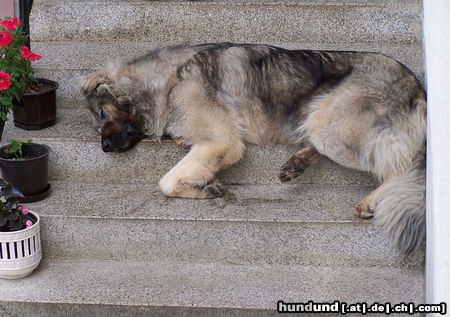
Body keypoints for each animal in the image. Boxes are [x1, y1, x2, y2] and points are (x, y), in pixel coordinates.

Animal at [81, 42, 426, 254]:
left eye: (101, 115)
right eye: (98, 123)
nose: (105, 147)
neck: (167, 81)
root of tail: (416, 85)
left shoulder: (223, 142)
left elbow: (165, 182)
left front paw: (202, 187)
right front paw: (203, 181)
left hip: (332, 127)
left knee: (401, 168)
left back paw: (371, 201)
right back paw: (298, 162)